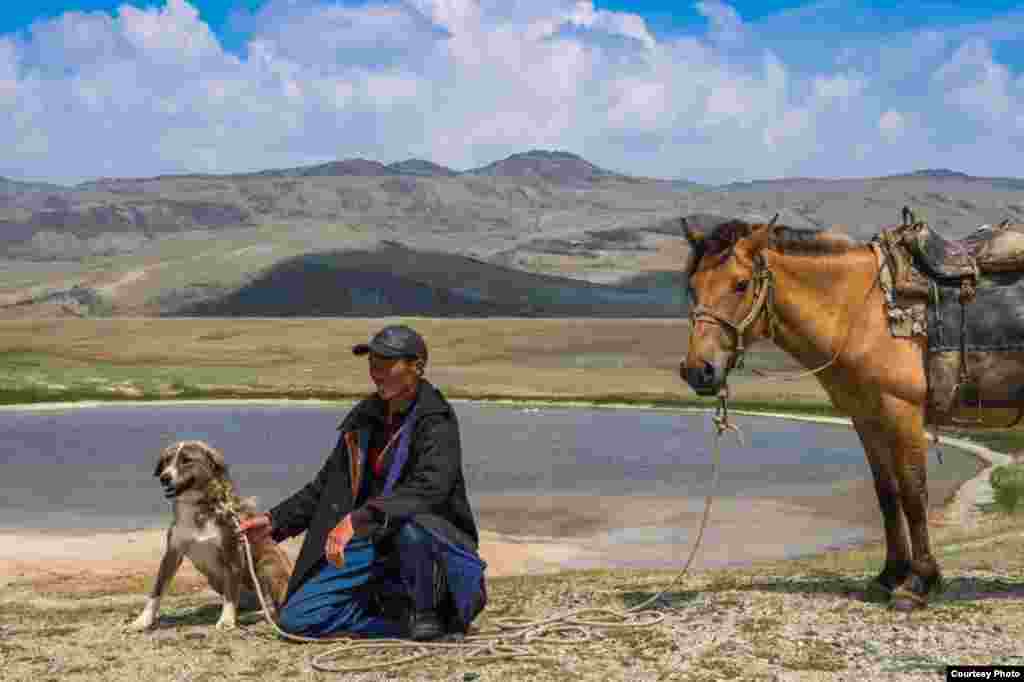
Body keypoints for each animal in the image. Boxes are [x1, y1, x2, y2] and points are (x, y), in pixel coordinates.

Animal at [130, 438, 292, 630]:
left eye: (186, 460)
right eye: (167, 461)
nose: (164, 477)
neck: (198, 506)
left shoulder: (233, 553)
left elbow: (230, 594)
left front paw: (226, 620)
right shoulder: (172, 554)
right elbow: (157, 590)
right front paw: (143, 620)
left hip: (268, 564)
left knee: (272, 605)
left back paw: (257, 615)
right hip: (214, 579)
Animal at [675, 215, 1019, 606]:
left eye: (740, 284)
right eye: (692, 287)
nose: (698, 370)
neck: (861, 310)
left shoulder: (902, 412)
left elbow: (914, 493)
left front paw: (918, 582)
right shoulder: (867, 417)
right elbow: (887, 494)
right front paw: (890, 575)